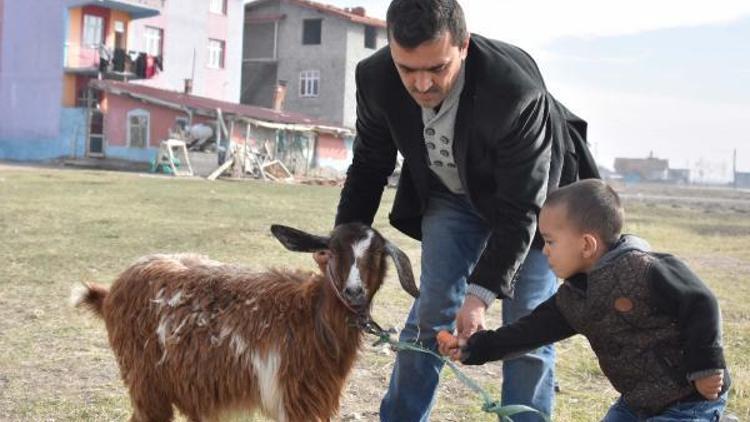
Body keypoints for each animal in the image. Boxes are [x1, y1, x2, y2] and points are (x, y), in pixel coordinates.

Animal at [70, 223, 418, 420]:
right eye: (332, 251)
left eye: (377, 255)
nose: (354, 291)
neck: (312, 315)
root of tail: (109, 293)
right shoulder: (295, 398)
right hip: (144, 380)